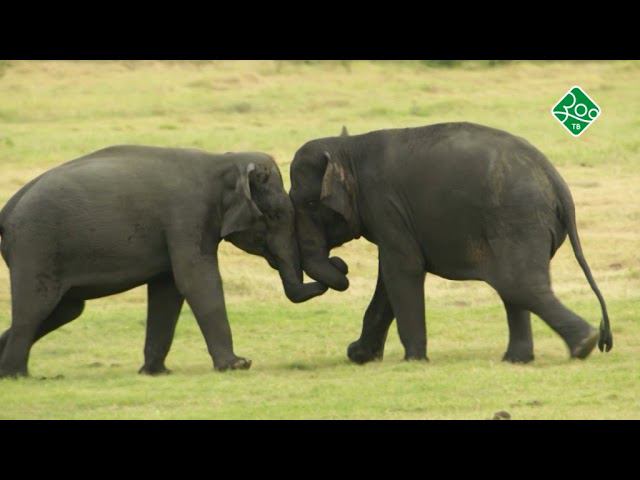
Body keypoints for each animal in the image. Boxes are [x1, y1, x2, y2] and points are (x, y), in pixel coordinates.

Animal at [0, 144, 330, 376]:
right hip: (36, 246)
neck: (222, 162)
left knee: (65, 309)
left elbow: (167, 289)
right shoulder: (187, 215)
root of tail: (8, 210)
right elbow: (195, 279)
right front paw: (238, 365)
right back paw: (17, 374)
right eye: (275, 216)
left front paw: (155, 372)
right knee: (36, 308)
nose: (336, 269)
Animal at [288, 123, 612, 364]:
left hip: (517, 219)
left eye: (309, 203)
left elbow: (401, 269)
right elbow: (388, 277)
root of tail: (556, 181)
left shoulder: (385, 205)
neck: (348, 148)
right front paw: (360, 355)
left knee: (517, 284)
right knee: (514, 288)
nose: (341, 265)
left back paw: (583, 344)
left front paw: (413, 360)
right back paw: (522, 358)